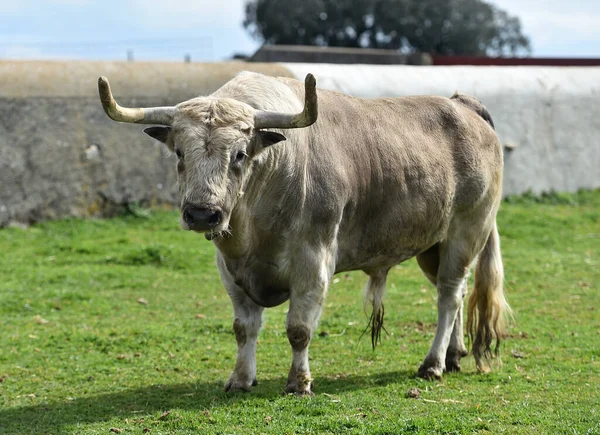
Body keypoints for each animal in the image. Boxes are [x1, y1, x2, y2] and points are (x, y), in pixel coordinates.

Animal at [98, 71, 510, 396]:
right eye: (180, 152)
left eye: (240, 155)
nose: (202, 214)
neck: (254, 226)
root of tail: (462, 105)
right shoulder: (229, 269)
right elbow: (243, 328)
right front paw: (240, 379)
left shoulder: (314, 263)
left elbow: (299, 330)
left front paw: (299, 382)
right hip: (432, 246)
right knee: (456, 293)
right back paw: (454, 355)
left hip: (465, 233)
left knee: (449, 297)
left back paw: (433, 363)